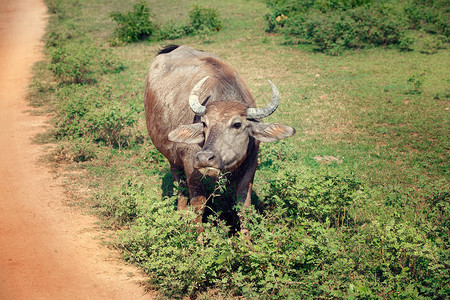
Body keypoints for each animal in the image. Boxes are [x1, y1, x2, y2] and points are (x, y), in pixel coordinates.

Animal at [144, 44, 296, 231]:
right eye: (204, 123)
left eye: (237, 124)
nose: (204, 158)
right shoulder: (191, 166)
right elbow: (198, 205)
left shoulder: (251, 166)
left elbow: (244, 207)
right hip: (172, 158)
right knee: (178, 182)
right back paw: (181, 211)